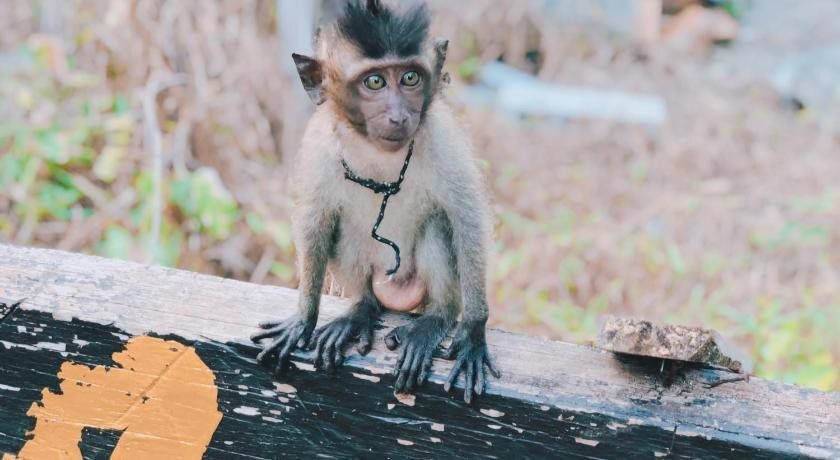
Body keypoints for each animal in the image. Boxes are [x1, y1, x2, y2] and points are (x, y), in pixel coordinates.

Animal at [251, 0, 500, 403]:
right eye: (375, 82)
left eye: (410, 78)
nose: (398, 115)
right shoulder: (320, 144)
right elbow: (315, 222)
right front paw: (303, 318)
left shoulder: (442, 139)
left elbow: (468, 219)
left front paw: (474, 330)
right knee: (348, 232)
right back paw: (360, 310)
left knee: (437, 225)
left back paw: (437, 317)